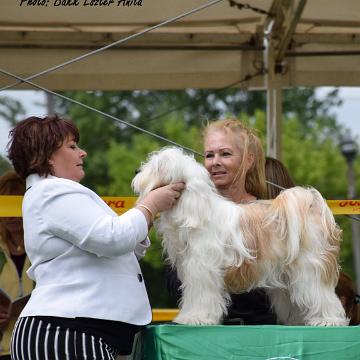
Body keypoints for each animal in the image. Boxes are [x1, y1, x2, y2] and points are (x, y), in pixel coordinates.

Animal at [131, 146, 348, 326]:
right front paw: (188, 316)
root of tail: (312, 205)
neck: (195, 209)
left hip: (310, 267)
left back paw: (329, 320)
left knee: (322, 295)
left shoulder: (202, 269)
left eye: (156, 167)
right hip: (288, 274)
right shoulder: (191, 269)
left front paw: (196, 318)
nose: (136, 172)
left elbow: (202, 296)